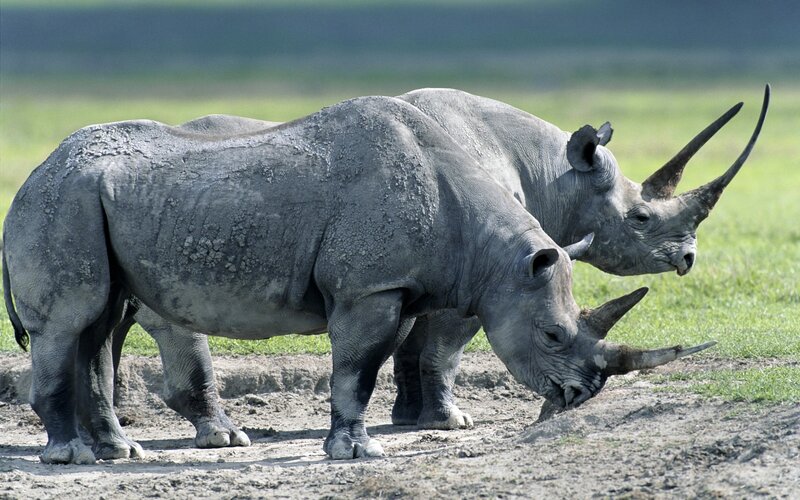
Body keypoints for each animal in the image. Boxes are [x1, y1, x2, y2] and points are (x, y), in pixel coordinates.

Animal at [2, 94, 715, 464]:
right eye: (551, 337)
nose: (581, 394)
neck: (493, 254)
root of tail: (33, 173)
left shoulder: (403, 284)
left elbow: (382, 361)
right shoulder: (369, 288)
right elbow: (359, 367)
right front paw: (357, 452)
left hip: (94, 200)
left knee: (100, 324)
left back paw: (120, 453)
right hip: (63, 200)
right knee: (71, 323)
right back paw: (71, 457)